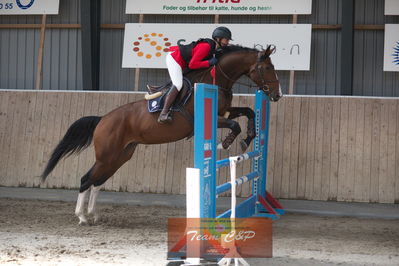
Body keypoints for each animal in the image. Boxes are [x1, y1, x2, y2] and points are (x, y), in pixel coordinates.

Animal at [41, 44, 282, 223]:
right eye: (267, 67)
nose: (277, 95)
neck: (217, 79)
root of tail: (103, 119)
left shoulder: (225, 111)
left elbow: (248, 112)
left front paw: (248, 138)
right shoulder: (212, 117)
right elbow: (234, 125)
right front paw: (226, 143)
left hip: (119, 156)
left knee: (97, 181)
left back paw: (93, 215)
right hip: (107, 155)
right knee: (86, 179)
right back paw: (81, 216)